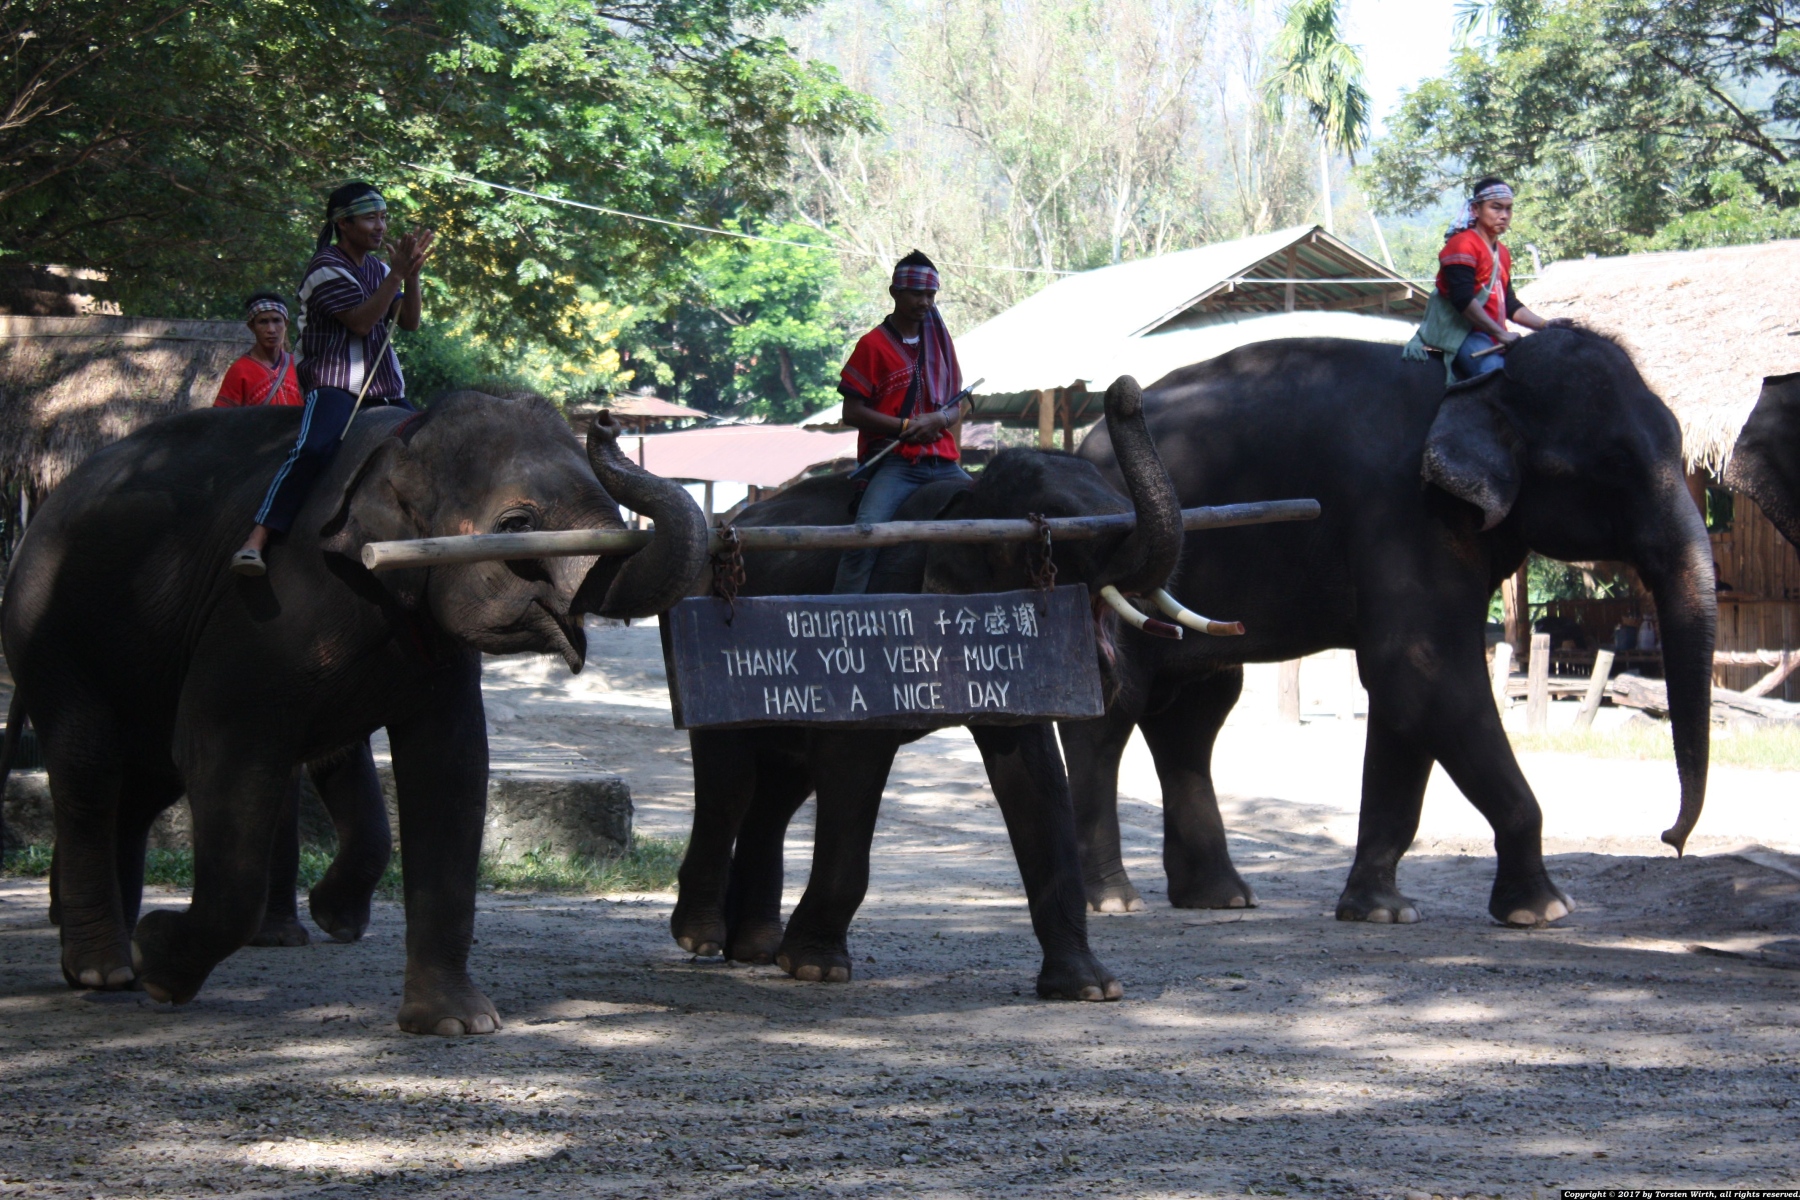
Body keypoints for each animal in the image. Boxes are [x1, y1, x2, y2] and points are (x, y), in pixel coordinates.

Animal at [0, 392, 708, 1033]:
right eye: (514, 524)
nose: (608, 421)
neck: (403, 440)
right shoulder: (262, 612)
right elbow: (218, 749)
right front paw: (158, 964)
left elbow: (452, 770)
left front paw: (454, 1023)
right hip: (51, 630)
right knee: (90, 771)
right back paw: (105, 969)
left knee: (141, 786)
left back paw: (101, 957)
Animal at [668, 378, 1186, 1000]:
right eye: (1057, 523)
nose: (1124, 391)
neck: (965, 506)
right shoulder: (878, 619)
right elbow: (852, 759)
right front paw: (817, 968)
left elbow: (1034, 774)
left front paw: (1089, 988)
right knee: (731, 778)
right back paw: (700, 938)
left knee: (780, 789)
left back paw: (754, 948)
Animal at [1065, 329, 1715, 926]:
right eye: (1615, 464)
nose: (1670, 839)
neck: (1480, 380)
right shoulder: (1405, 514)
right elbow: (1421, 676)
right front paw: (1545, 910)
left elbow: (1407, 701)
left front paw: (1379, 910)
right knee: (1113, 712)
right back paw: (1116, 901)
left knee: (1196, 713)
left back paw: (1220, 899)